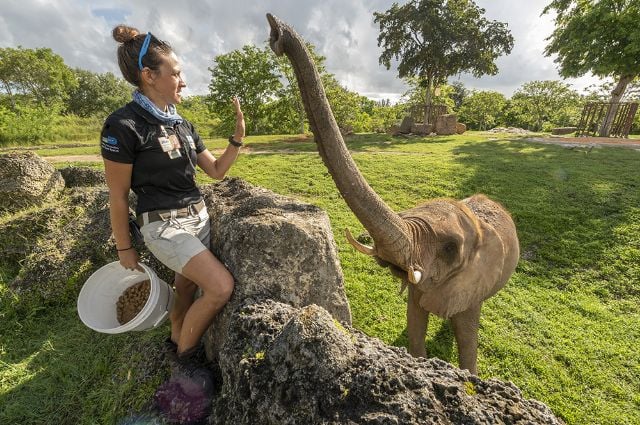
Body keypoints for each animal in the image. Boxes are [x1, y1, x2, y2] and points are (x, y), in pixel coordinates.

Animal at [266, 13, 519, 375]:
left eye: (450, 248)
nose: (277, 33)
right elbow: (415, 317)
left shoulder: (472, 279)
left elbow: (467, 331)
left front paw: (465, 377)